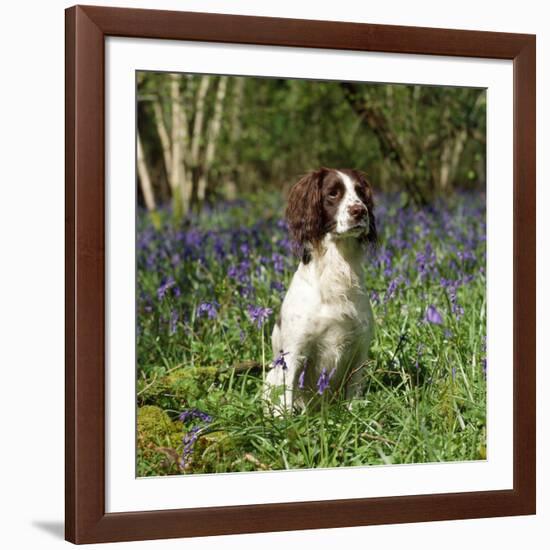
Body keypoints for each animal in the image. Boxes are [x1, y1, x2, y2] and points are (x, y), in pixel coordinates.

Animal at [264, 168, 378, 414]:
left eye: (360, 192)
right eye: (333, 193)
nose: (360, 211)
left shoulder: (359, 351)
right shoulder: (294, 354)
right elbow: (285, 403)